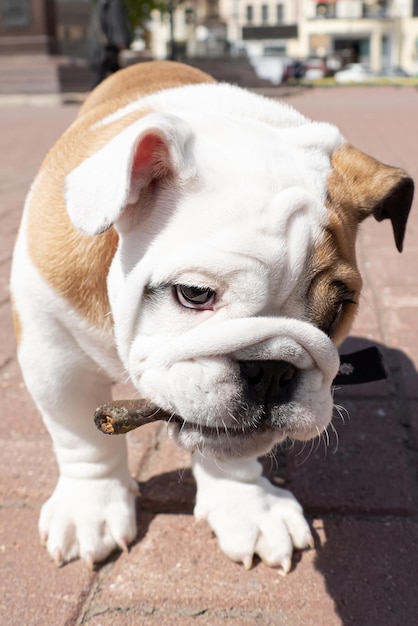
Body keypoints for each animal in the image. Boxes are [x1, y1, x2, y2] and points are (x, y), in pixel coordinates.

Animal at [11, 62, 414, 572]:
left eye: (340, 309)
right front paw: (91, 508)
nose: (272, 369)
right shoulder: (54, 350)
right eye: (194, 294)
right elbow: (82, 435)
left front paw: (248, 506)